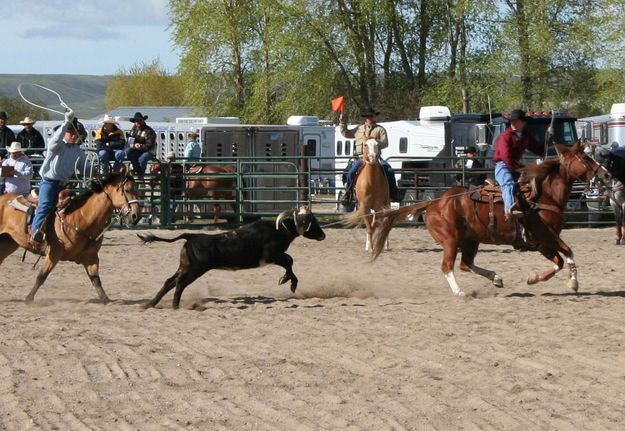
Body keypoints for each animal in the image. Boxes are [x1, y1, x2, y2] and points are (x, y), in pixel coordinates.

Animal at [0, 169, 141, 304]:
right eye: (127, 190)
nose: (136, 216)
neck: (82, 217)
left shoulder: (91, 257)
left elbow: (96, 280)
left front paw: (106, 300)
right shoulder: (54, 253)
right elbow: (42, 276)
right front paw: (29, 298)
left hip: (8, 243)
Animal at [368, 142, 608, 296]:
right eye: (585, 157)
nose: (605, 174)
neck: (543, 197)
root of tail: (434, 203)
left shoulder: (541, 243)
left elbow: (559, 261)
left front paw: (533, 278)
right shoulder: (545, 236)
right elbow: (568, 252)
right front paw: (574, 283)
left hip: (470, 241)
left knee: (466, 264)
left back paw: (496, 278)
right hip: (450, 240)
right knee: (448, 266)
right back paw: (460, 292)